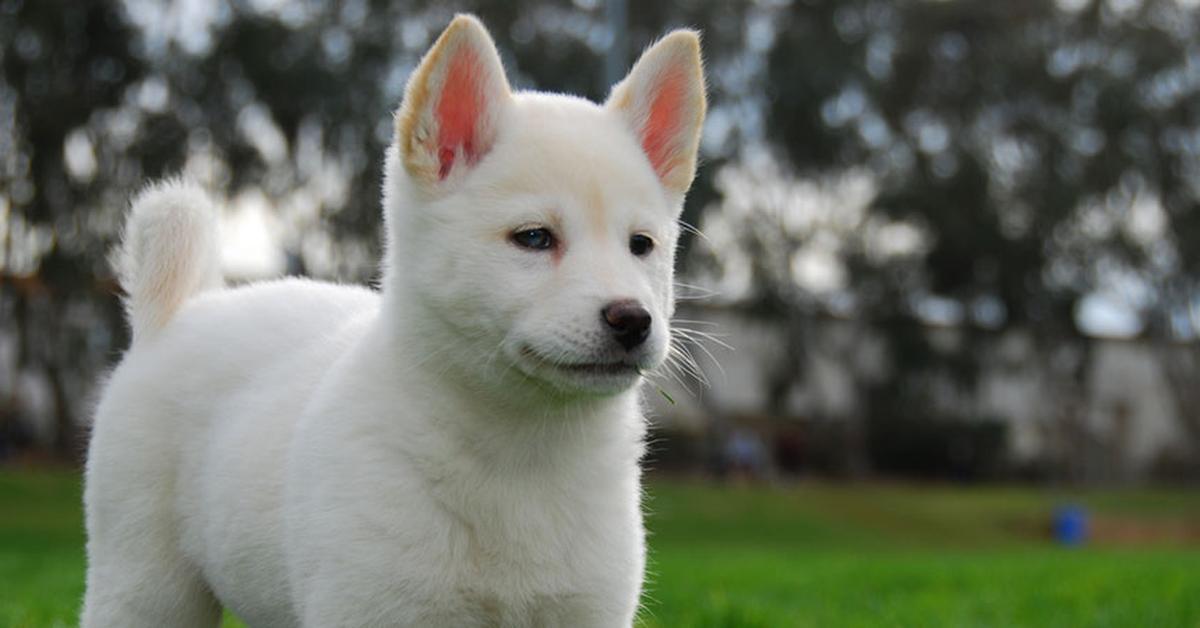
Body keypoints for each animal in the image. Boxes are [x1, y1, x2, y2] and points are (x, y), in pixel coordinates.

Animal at [84, 14, 705, 628]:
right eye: (533, 238)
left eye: (642, 245)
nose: (633, 319)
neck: (522, 455)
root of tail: (177, 314)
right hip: (145, 585)